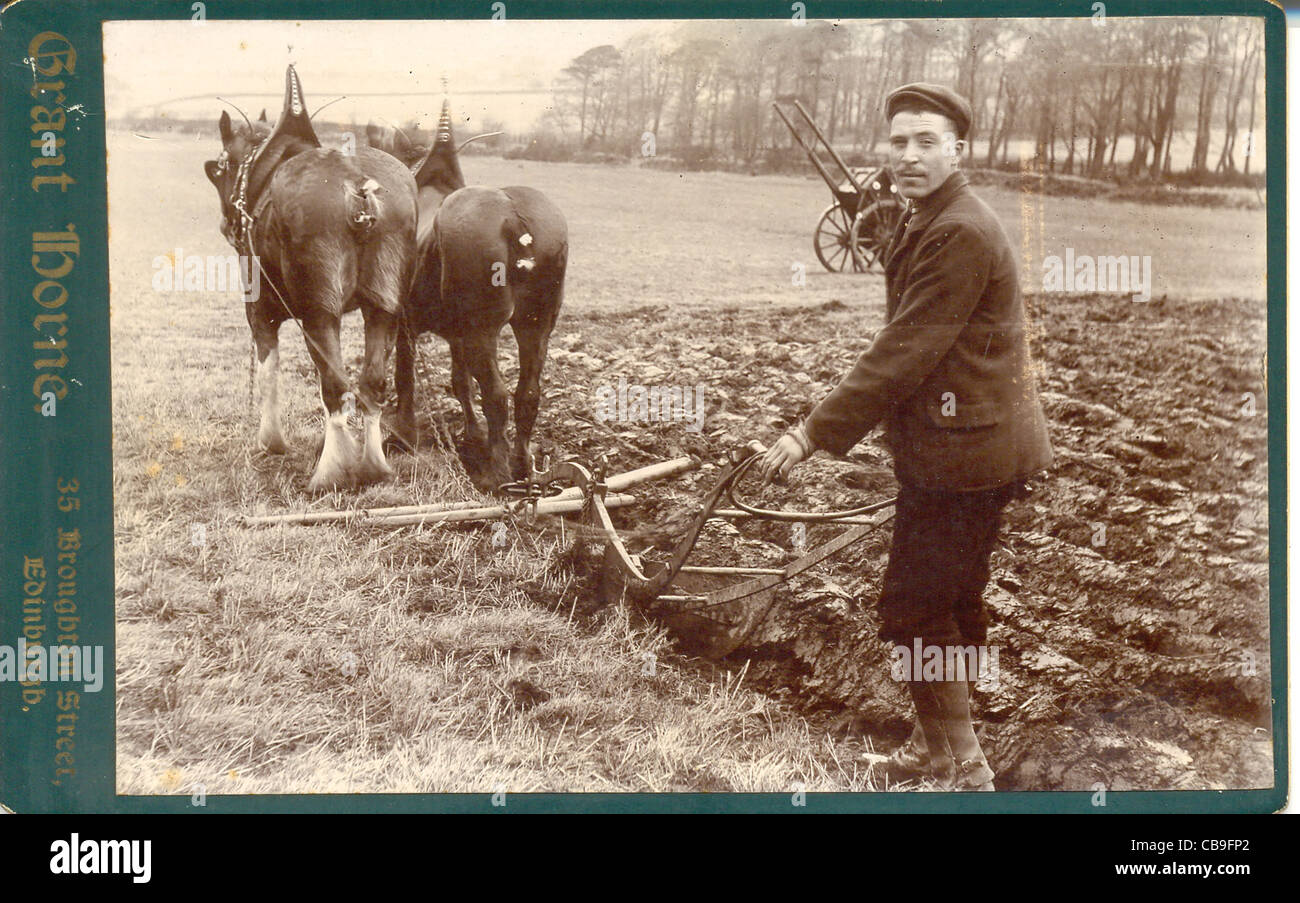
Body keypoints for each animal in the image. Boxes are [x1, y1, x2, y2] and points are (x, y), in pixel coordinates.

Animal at [202, 66, 418, 491]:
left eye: (221, 166)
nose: (226, 223)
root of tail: (358, 186)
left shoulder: (260, 310)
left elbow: (269, 371)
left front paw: (271, 442)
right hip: (384, 307)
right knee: (371, 383)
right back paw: (373, 466)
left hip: (319, 313)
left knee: (335, 388)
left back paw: (329, 473)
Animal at [369, 102, 566, 491]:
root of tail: (514, 218)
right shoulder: (456, 335)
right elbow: (460, 382)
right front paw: (472, 435)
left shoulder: (408, 323)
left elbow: (405, 376)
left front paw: (403, 435)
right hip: (535, 326)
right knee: (527, 393)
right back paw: (522, 463)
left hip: (482, 332)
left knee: (497, 395)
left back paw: (497, 472)